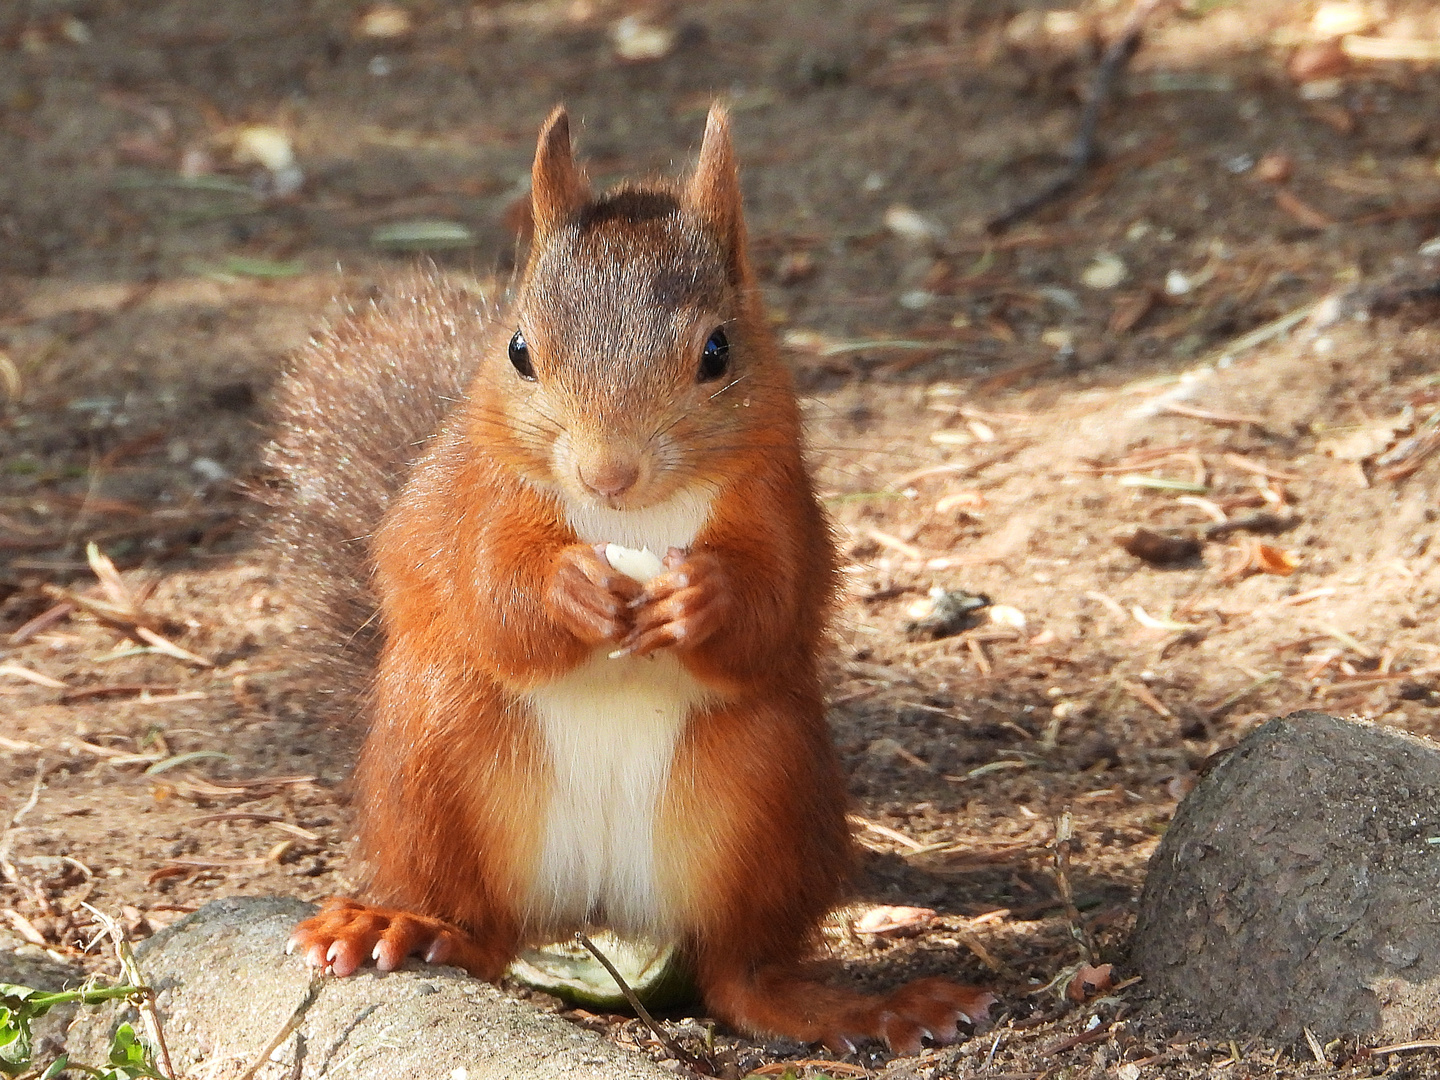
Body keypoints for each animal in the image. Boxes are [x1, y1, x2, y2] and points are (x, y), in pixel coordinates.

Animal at [264, 105, 996, 1054]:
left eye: (718, 351)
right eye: (519, 350)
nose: (607, 473)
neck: (633, 524)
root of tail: (598, 902)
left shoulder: (782, 504)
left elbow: (779, 603)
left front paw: (702, 599)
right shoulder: (476, 502)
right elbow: (489, 595)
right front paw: (568, 592)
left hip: (768, 784)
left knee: (738, 972)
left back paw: (861, 1007)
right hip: (435, 751)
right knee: (480, 933)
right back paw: (403, 924)